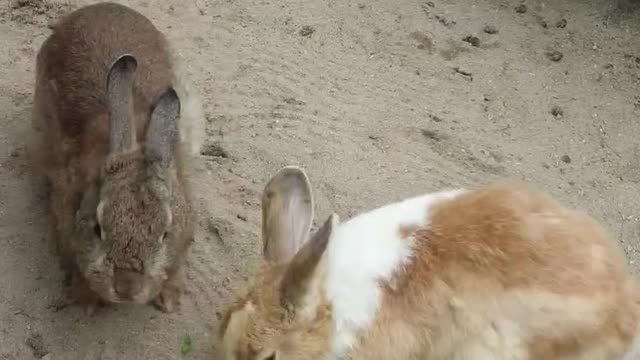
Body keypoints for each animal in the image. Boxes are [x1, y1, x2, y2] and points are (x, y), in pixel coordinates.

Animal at [33, 2, 200, 312]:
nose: (126, 288)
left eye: (165, 234)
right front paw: (86, 301)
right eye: (98, 229)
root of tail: (101, 6)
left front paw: (169, 298)